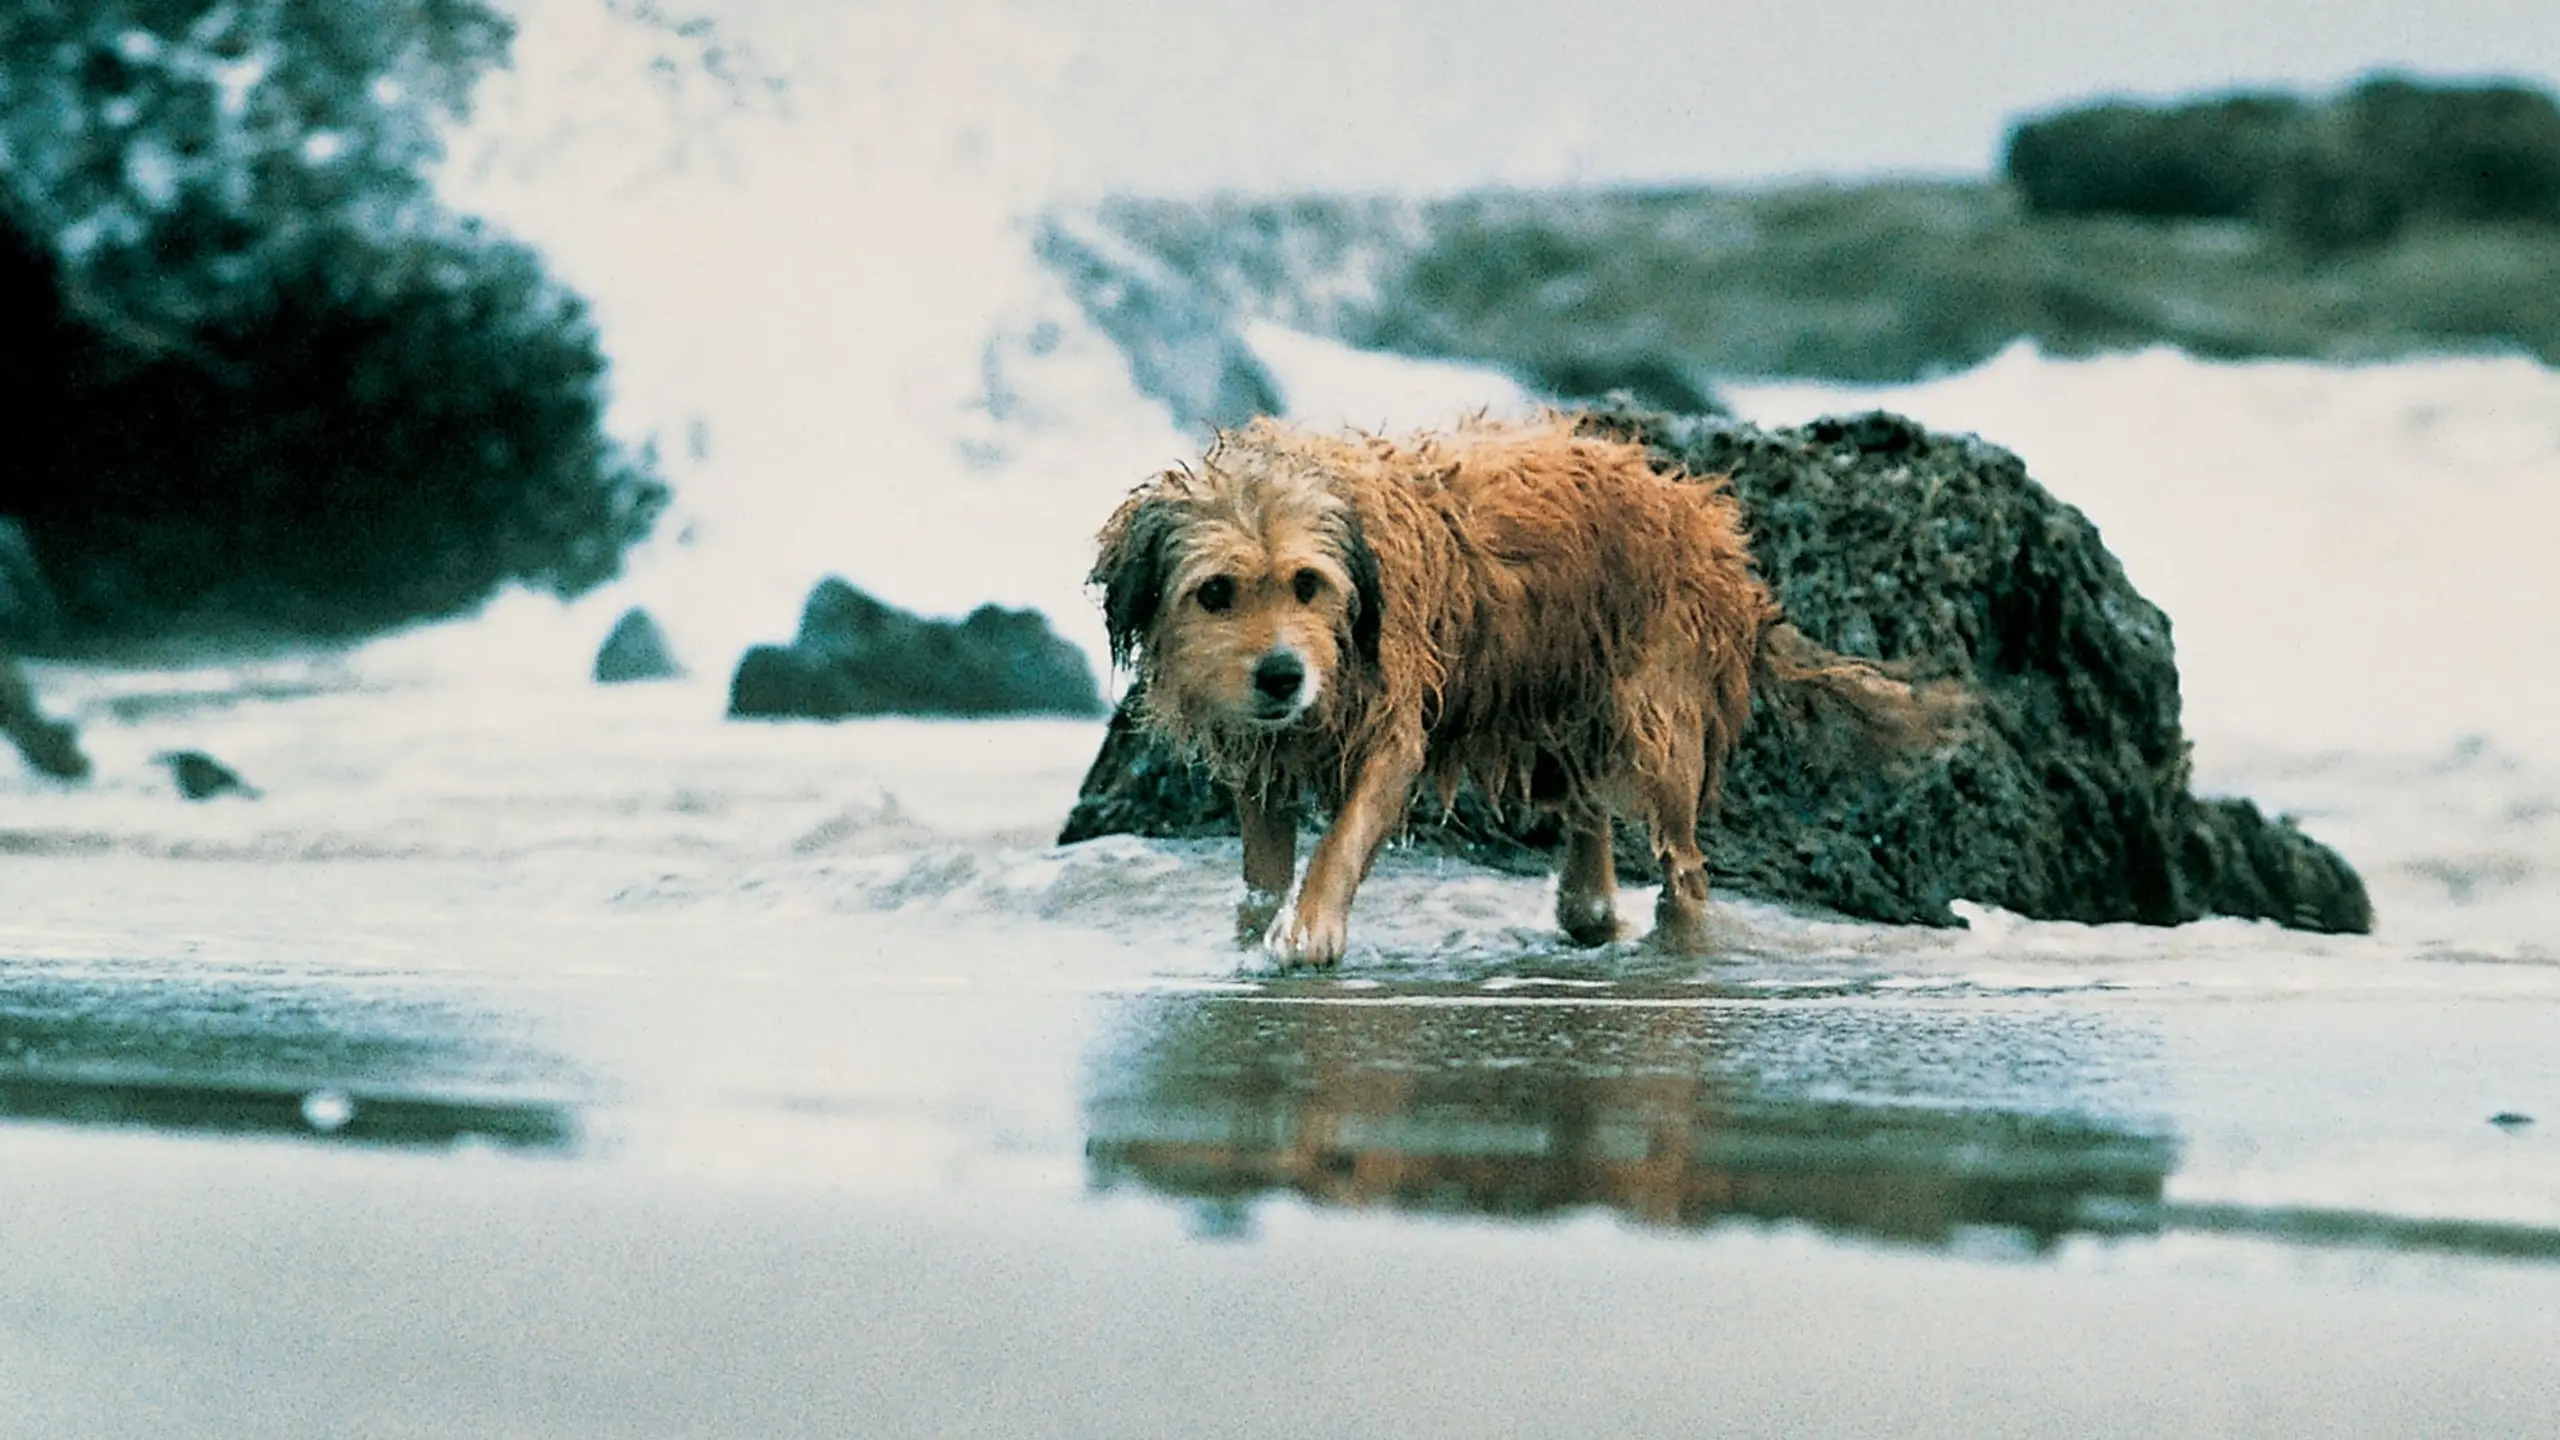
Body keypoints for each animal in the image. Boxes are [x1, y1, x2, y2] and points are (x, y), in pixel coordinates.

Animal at [1090, 412, 1945, 963]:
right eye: (1215, 592)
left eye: (1307, 583)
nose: (1281, 675)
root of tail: (1709, 526)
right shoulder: (1262, 758)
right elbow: (1263, 870)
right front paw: (1257, 933)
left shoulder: (1391, 725)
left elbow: (1342, 838)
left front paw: (1310, 931)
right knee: (1588, 829)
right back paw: (1590, 911)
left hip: (1658, 720)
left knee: (1684, 869)